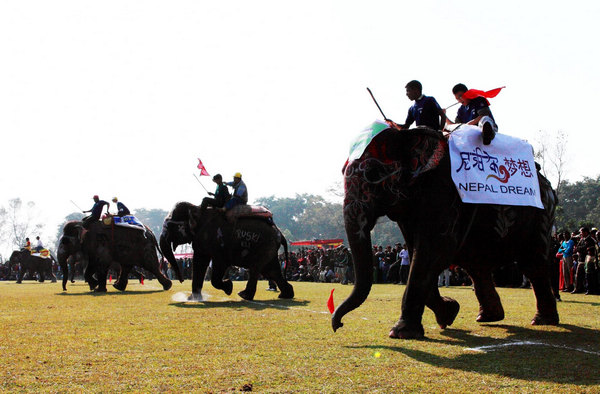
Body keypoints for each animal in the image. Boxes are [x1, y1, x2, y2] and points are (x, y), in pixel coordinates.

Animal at [161, 203, 294, 302]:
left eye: (169, 226)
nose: (181, 280)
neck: (195, 207)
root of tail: (280, 233)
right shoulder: (201, 240)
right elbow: (199, 262)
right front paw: (193, 299)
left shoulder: (218, 240)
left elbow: (220, 262)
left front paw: (229, 287)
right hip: (270, 248)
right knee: (272, 271)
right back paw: (286, 295)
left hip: (264, 245)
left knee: (257, 268)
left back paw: (244, 295)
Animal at [332, 126, 556, 338]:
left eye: (372, 174)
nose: (338, 325)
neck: (407, 135)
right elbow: (417, 252)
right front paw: (449, 312)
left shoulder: (444, 191)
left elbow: (434, 251)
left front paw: (401, 333)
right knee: (477, 267)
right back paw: (488, 318)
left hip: (541, 216)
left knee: (532, 264)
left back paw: (542, 321)